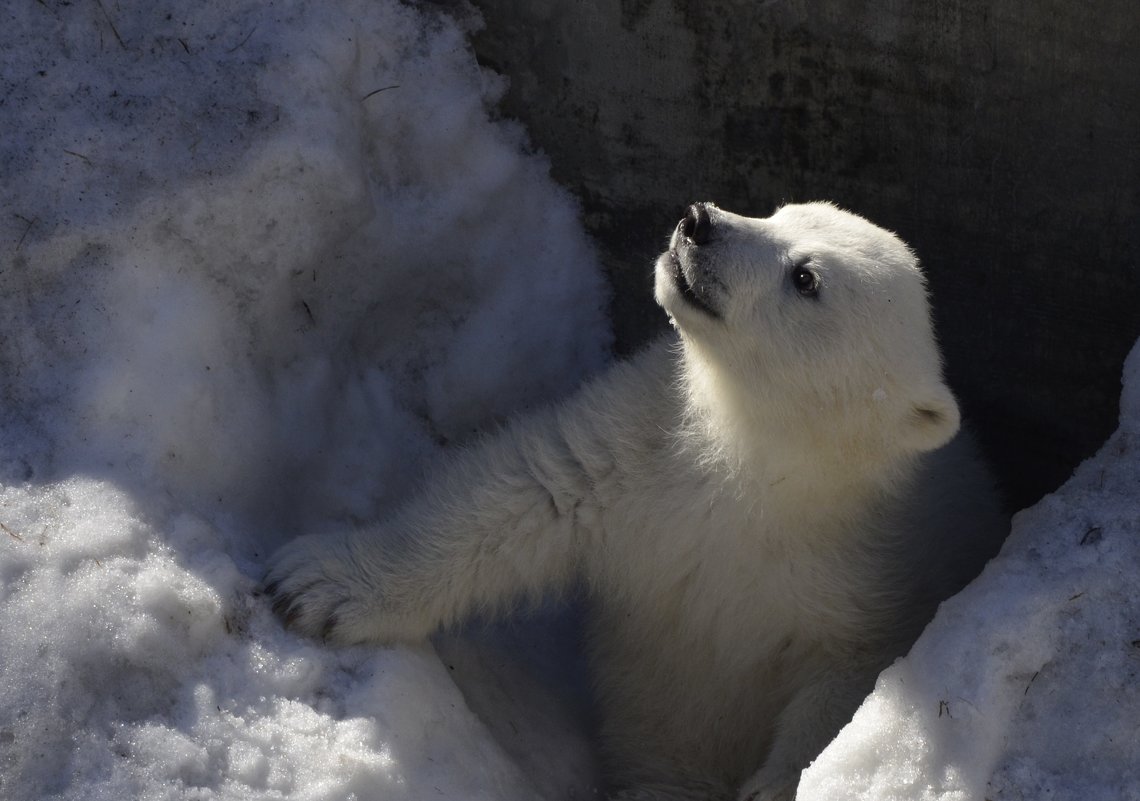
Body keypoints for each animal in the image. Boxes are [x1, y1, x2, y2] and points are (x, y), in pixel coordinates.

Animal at [262, 201, 1003, 801]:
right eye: (780, 209)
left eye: (806, 278)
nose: (699, 221)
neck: (764, 473)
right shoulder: (640, 445)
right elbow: (526, 489)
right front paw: (316, 585)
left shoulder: (871, 567)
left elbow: (851, 677)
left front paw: (781, 783)